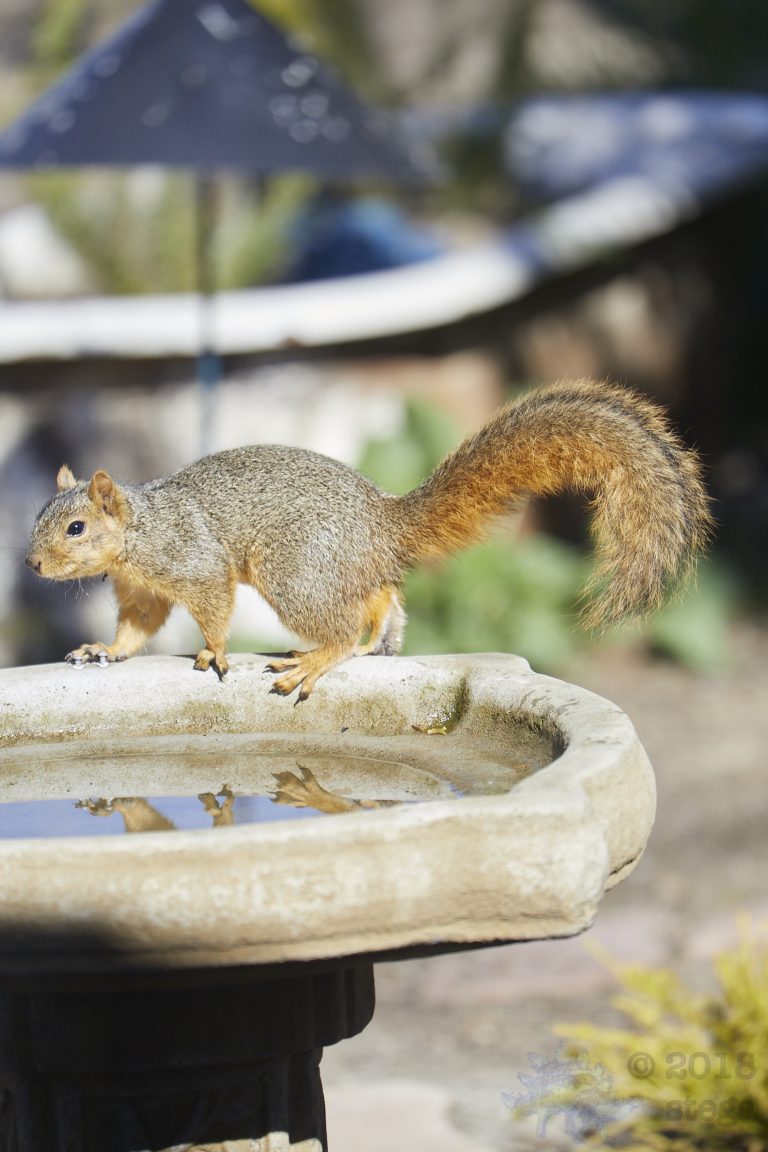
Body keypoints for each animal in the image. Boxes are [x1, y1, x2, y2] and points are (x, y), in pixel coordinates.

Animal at [26, 379, 712, 700]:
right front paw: (103, 651)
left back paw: (315, 660)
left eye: (76, 527)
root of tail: (380, 521)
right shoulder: (140, 589)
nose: (31, 565)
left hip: (294, 570)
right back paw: (377, 637)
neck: (139, 531)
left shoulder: (194, 560)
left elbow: (214, 605)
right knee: (377, 596)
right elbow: (136, 627)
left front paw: (215, 653)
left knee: (341, 624)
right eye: (37, 517)